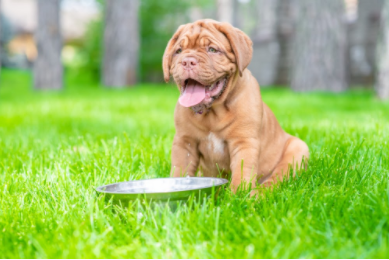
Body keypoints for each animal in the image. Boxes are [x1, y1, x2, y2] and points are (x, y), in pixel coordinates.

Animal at [162, 19, 308, 194]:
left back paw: (259, 194)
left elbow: (242, 172)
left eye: (212, 50)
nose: (187, 61)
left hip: (297, 150)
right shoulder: (185, 142)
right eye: (178, 51)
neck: (212, 113)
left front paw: (238, 196)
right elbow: (180, 171)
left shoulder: (244, 142)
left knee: (277, 178)